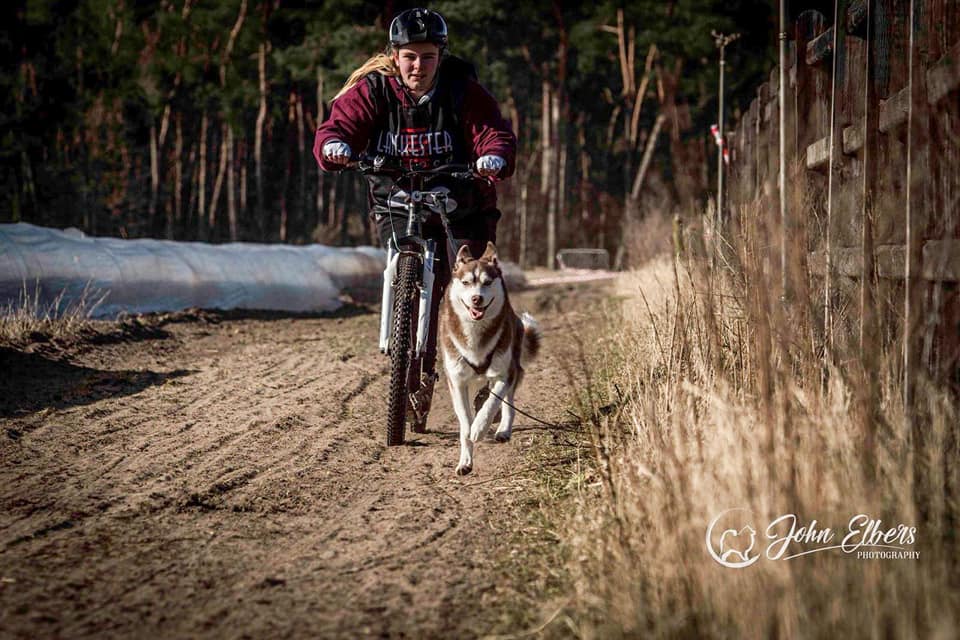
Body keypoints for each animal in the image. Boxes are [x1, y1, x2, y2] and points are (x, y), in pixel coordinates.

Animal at [440, 241, 540, 476]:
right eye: (466, 282)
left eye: (487, 282)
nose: (477, 298)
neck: (475, 332)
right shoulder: (457, 381)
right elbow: (464, 422)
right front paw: (465, 459)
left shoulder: (505, 373)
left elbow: (492, 403)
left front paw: (479, 427)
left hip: (511, 369)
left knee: (507, 404)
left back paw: (503, 430)